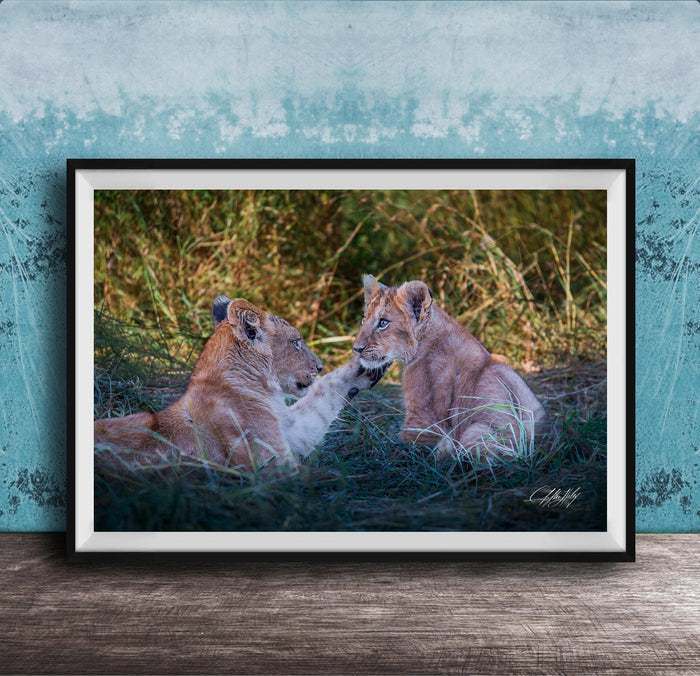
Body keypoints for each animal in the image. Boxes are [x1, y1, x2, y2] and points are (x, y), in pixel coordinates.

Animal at [95, 295, 386, 473]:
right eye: (296, 342)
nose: (319, 366)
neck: (264, 389)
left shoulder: (287, 432)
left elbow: (322, 398)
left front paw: (368, 365)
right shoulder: (272, 467)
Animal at [352, 275, 547, 458]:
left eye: (383, 322)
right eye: (363, 320)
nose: (356, 349)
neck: (424, 339)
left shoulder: (423, 419)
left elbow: (398, 450)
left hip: (474, 432)